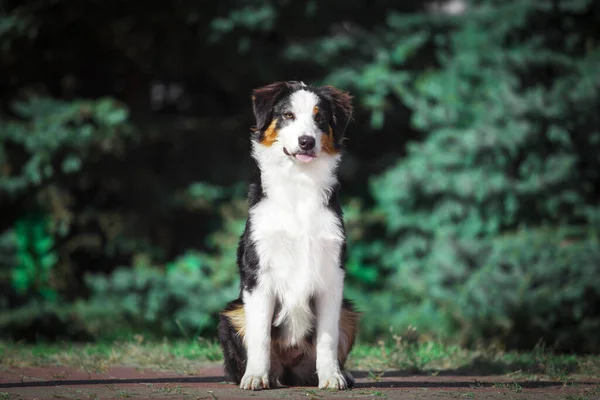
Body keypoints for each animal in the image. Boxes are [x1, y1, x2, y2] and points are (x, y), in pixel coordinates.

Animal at [220, 80, 360, 390]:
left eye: (320, 118)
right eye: (287, 115)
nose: (306, 141)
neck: (299, 184)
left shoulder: (332, 273)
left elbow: (327, 338)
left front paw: (332, 376)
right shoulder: (258, 273)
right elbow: (260, 335)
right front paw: (256, 376)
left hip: (349, 312)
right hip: (231, 315)